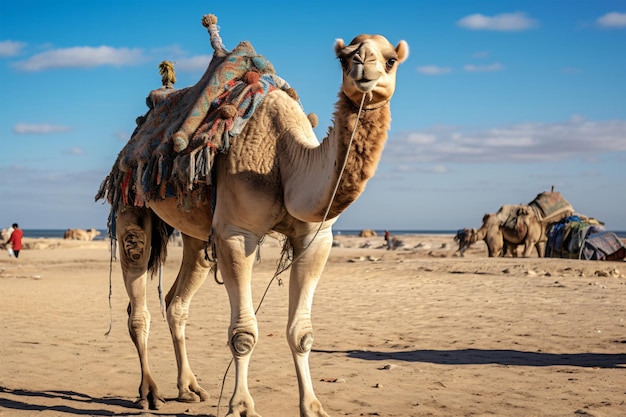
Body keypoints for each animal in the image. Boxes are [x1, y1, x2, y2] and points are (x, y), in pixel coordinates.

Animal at [95, 12, 408, 416]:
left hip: (196, 236)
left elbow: (302, 333)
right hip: (130, 200)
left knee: (177, 301)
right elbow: (244, 333)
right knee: (138, 297)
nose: (363, 66)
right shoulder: (236, 233)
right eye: (344, 58)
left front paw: (313, 406)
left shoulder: (314, 237)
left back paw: (189, 388)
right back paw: (149, 391)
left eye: (390, 59)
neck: (286, 159)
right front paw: (242, 405)